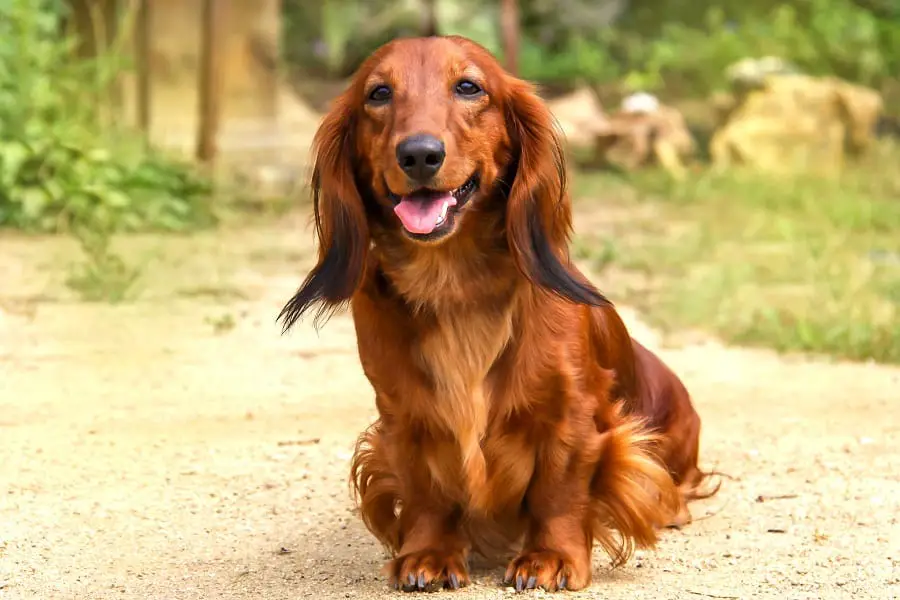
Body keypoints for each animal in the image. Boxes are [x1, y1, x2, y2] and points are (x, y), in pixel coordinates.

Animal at [282, 35, 716, 592]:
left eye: (469, 87)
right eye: (378, 94)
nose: (419, 154)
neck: (453, 283)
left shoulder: (572, 413)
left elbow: (560, 490)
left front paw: (550, 556)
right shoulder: (402, 415)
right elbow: (425, 491)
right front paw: (427, 553)